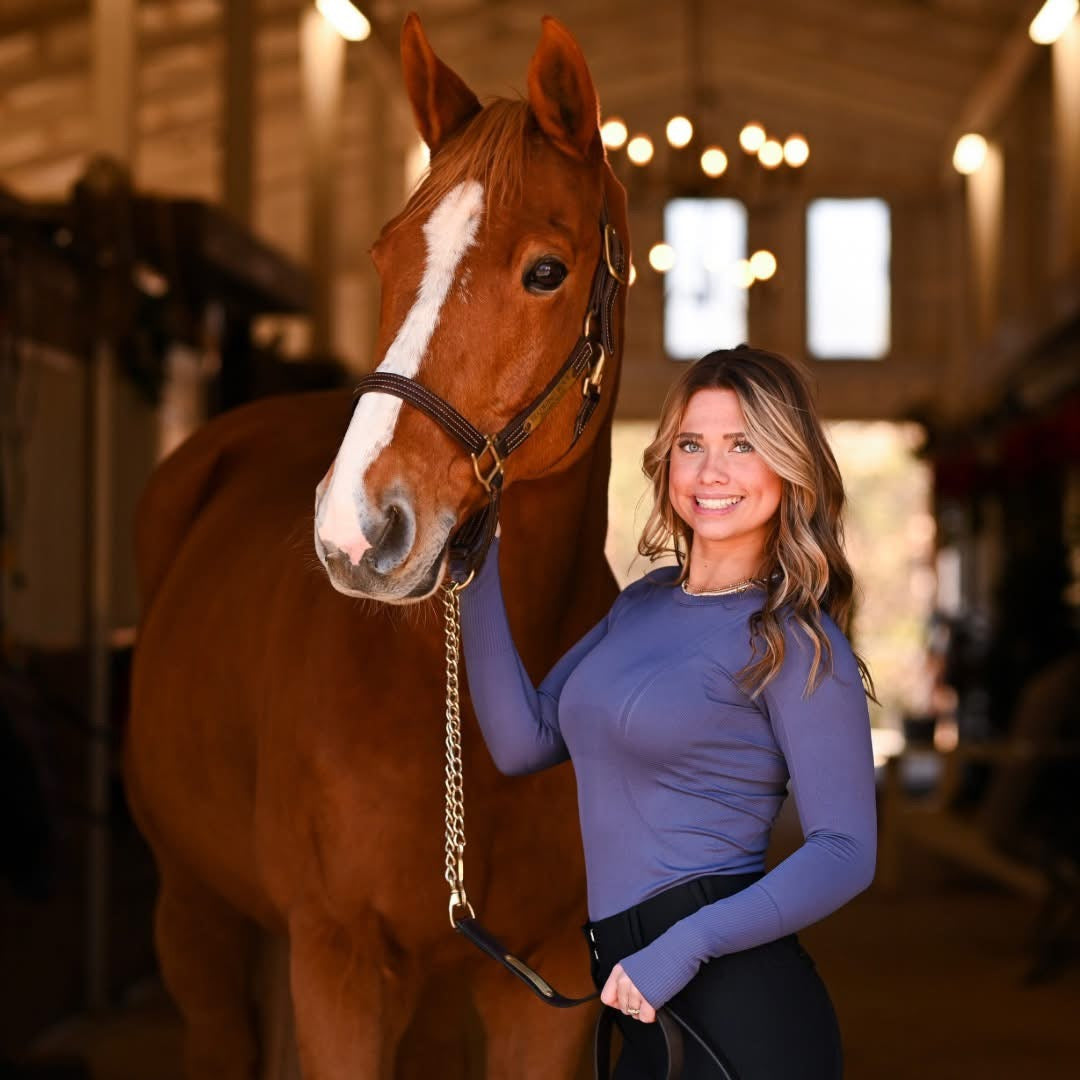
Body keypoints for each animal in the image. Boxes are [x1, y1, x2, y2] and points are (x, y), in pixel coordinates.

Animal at [126, 14, 630, 1080]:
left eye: (547, 270)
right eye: (385, 251)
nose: (355, 529)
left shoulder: (547, 986)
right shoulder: (341, 966)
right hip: (195, 920)